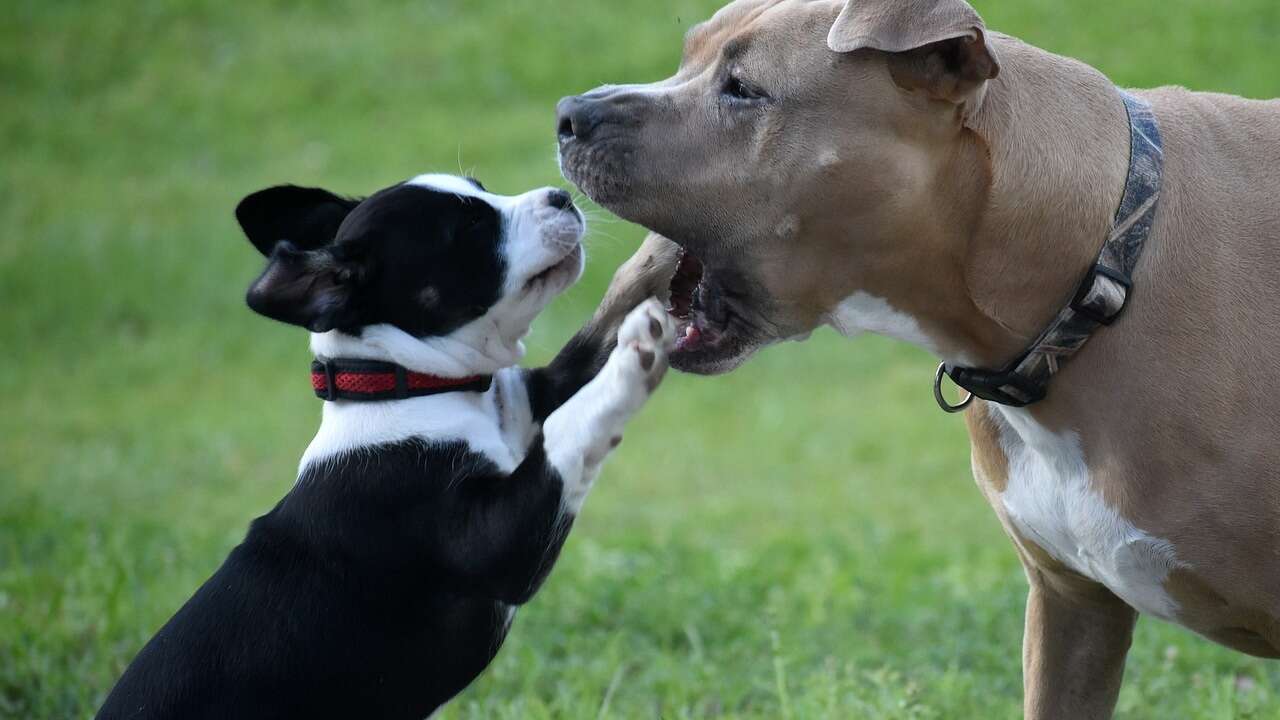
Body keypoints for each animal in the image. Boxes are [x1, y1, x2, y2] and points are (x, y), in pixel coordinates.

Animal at [98, 175, 675, 717]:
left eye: (483, 189)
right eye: (469, 227)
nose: (560, 196)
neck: (410, 384)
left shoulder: (529, 402)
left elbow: (591, 338)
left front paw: (656, 255)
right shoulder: (497, 544)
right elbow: (571, 428)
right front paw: (636, 354)